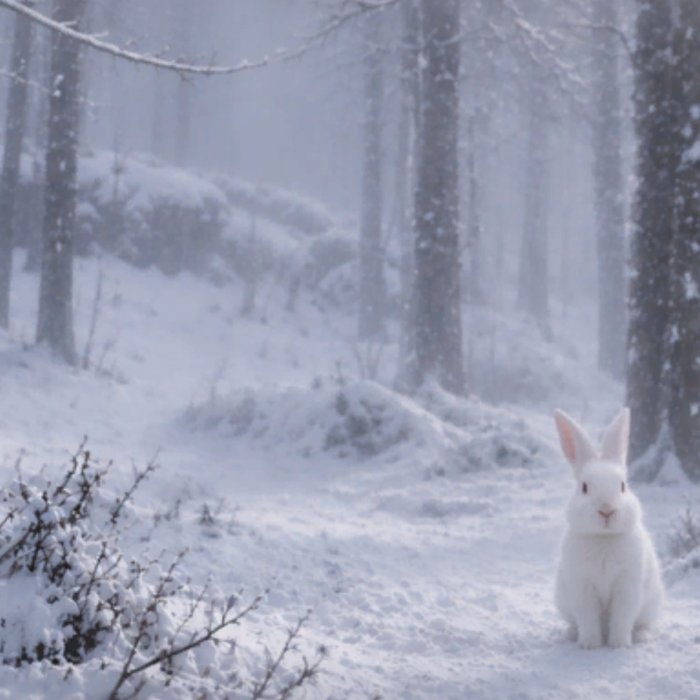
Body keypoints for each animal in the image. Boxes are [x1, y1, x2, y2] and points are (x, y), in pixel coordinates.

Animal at [553, 408, 664, 649]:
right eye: (584, 487)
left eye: (622, 486)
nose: (607, 510)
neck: (604, 538)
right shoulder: (582, 587)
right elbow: (587, 618)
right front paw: (589, 645)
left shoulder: (627, 586)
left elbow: (622, 618)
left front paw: (619, 645)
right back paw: (570, 635)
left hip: (652, 604)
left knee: (643, 624)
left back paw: (643, 637)